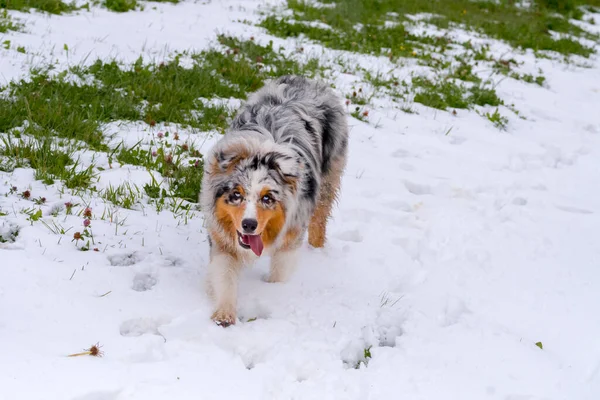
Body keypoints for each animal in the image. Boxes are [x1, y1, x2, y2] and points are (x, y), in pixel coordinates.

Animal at [199, 76, 350, 328]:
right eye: (236, 195)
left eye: (267, 198)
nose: (249, 225)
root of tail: (307, 80)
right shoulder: (222, 238)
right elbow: (225, 275)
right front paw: (224, 315)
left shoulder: (292, 231)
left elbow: (280, 272)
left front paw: (274, 292)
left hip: (329, 176)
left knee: (320, 219)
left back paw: (317, 250)